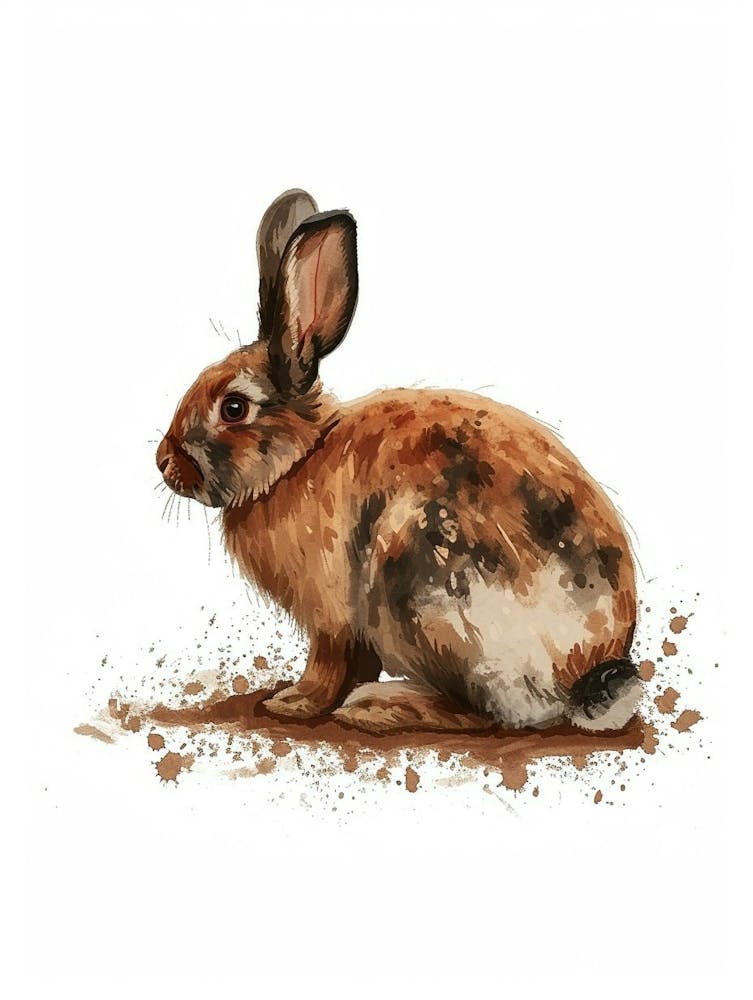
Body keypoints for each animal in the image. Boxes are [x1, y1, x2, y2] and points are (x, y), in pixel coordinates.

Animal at [156, 189, 641, 735]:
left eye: (234, 408)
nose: (163, 462)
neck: (301, 458)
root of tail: (585, 670)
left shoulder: (330, 615)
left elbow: (326, 666)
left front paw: (292, 703)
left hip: (416, 579)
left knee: (482, 715)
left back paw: (380, 706)